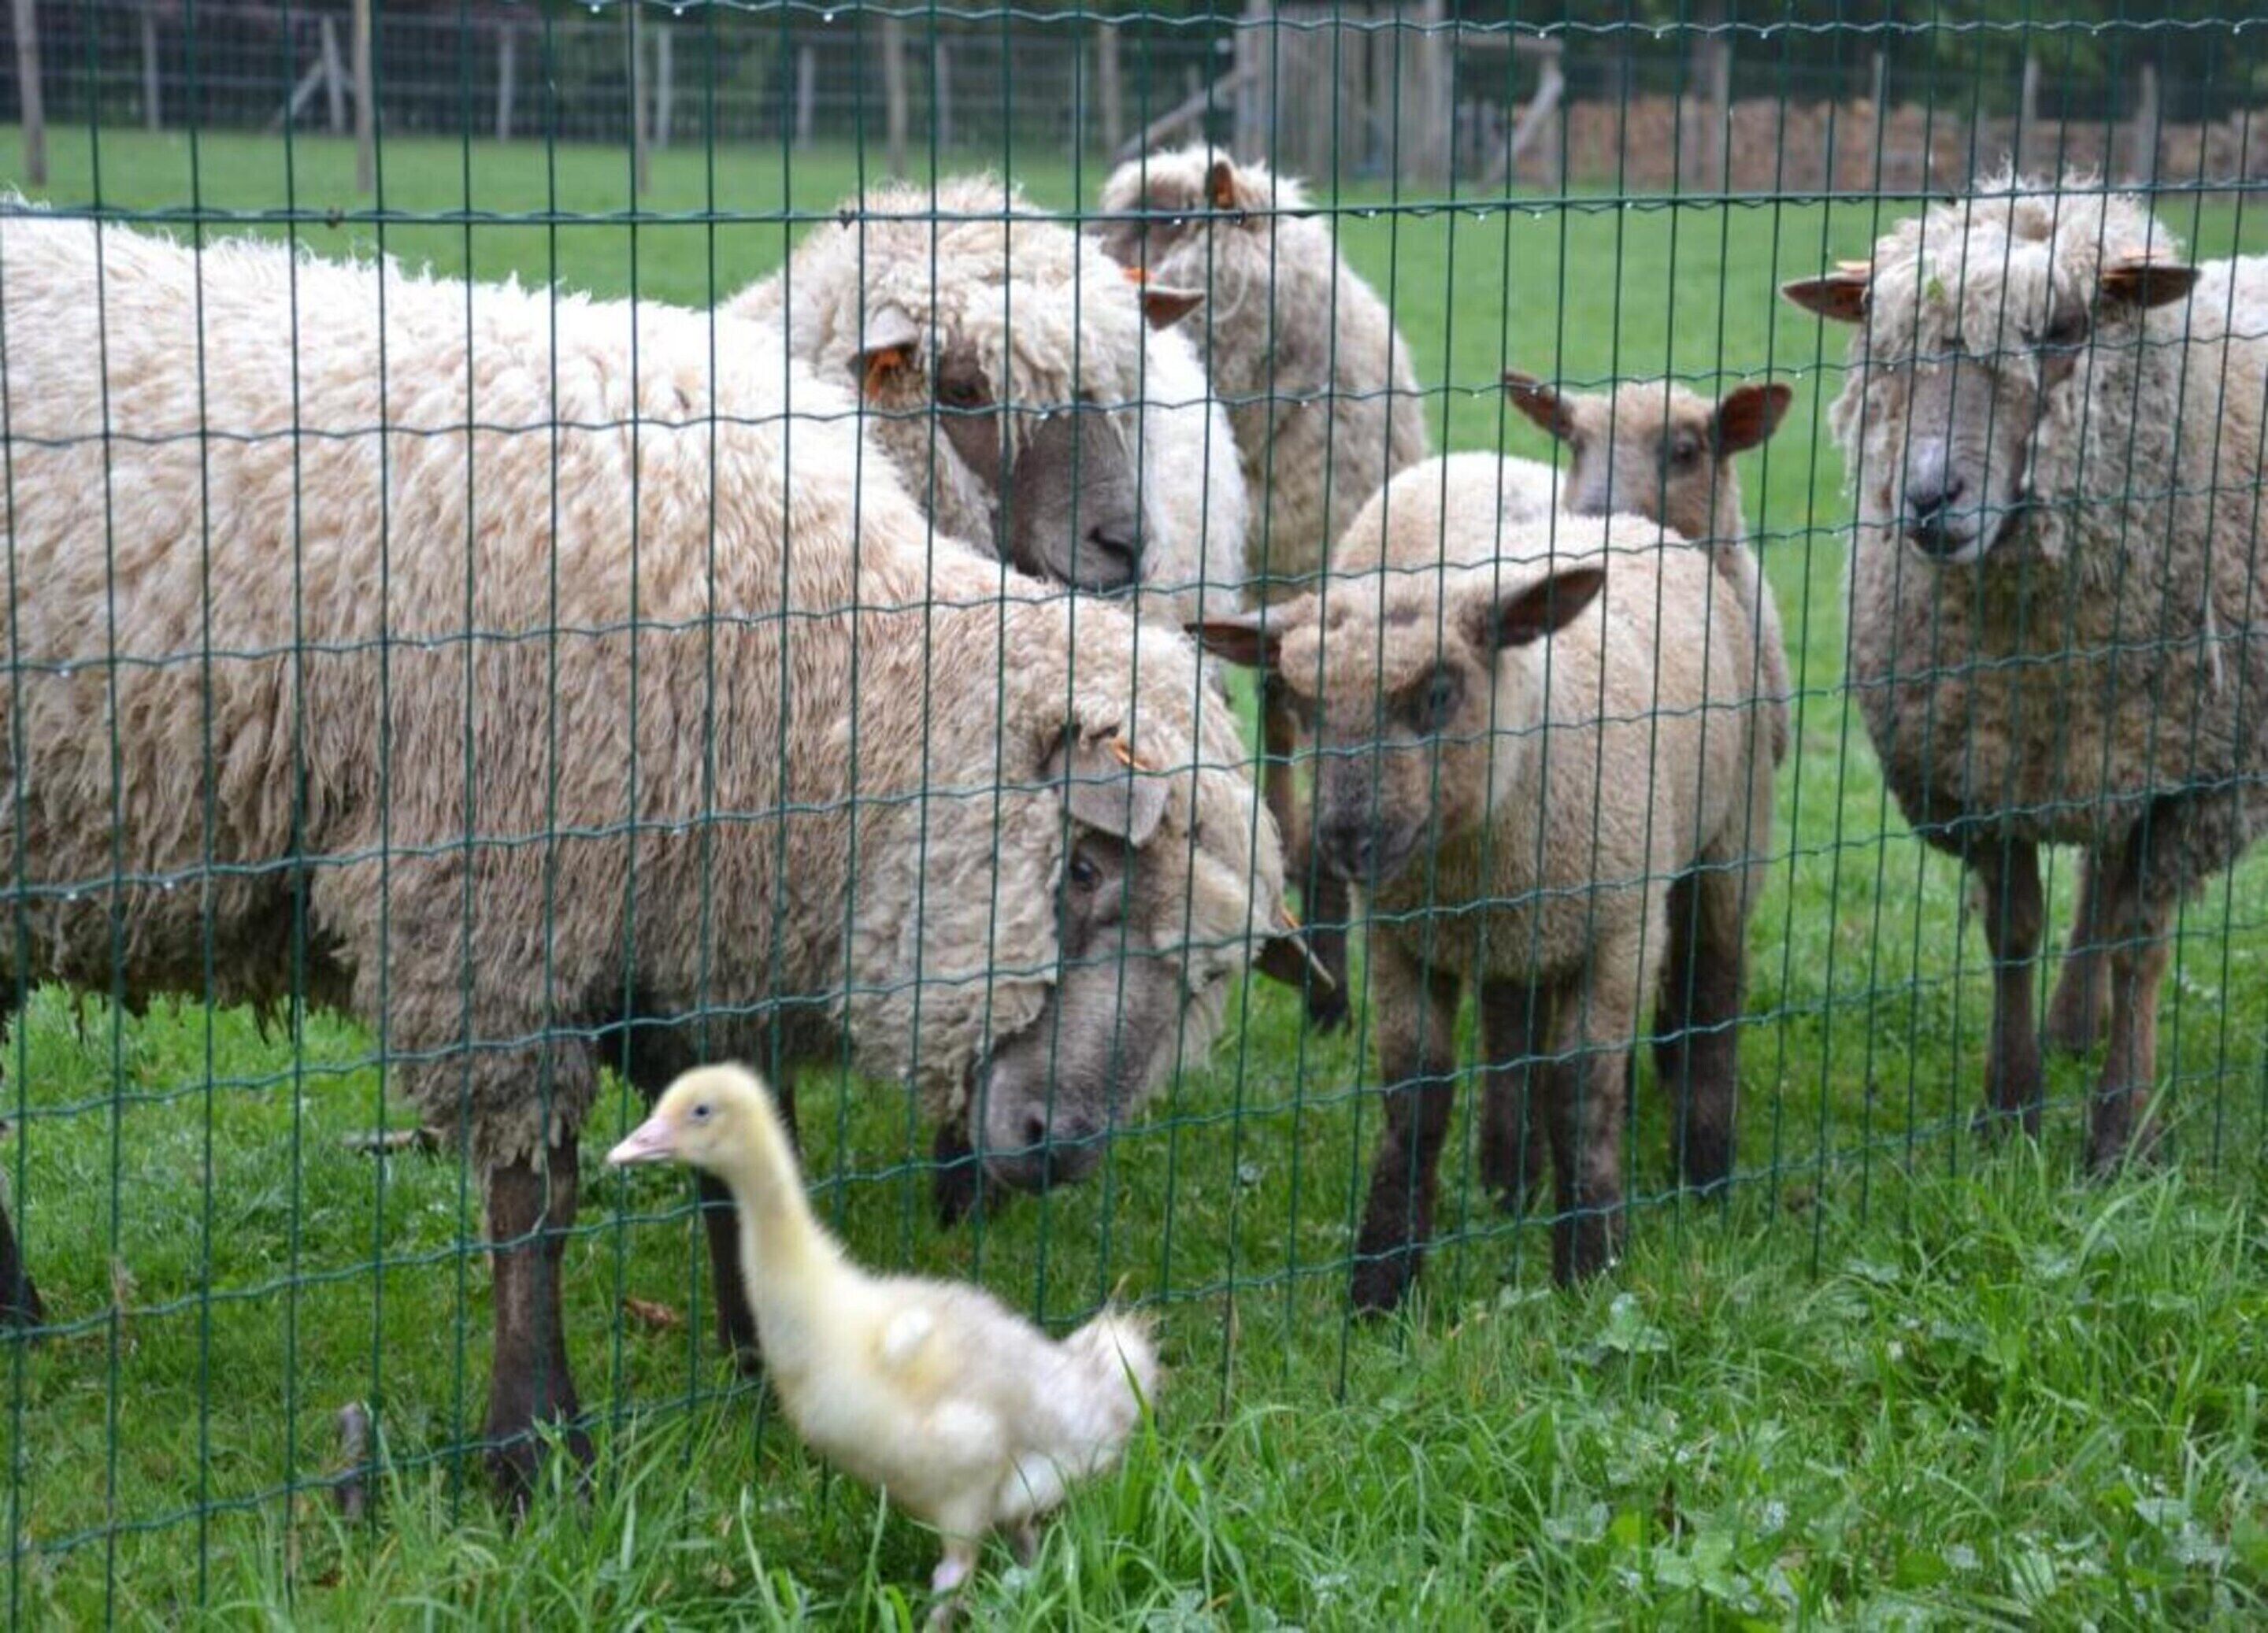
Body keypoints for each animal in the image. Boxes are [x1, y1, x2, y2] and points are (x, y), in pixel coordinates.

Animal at [1192, 455, 1779, 1304]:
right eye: (1301, 702)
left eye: (1439, 693)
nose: (1345, 840)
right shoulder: (1401, 938)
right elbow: (1417, 1097)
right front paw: (1382, 1280)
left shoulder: (1621, 930)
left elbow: (1581, 1091)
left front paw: (1589, 1263)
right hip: (1516, 933)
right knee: (1510, 1031)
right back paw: (1509, 1181)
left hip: (1728, 840)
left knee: (1714, 988)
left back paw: (1704, 1176)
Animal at [1782, 171, 2268, 1170]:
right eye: (1885, 347)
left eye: (2062, 330)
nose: (1929, 498)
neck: (2041, 662)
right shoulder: (1981, 769)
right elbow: (2015, 934)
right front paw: (2009, 1113)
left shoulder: (2194, 780)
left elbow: (2142, 944)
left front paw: (2120, 1135)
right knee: (2097, 880)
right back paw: (2073, 1026)